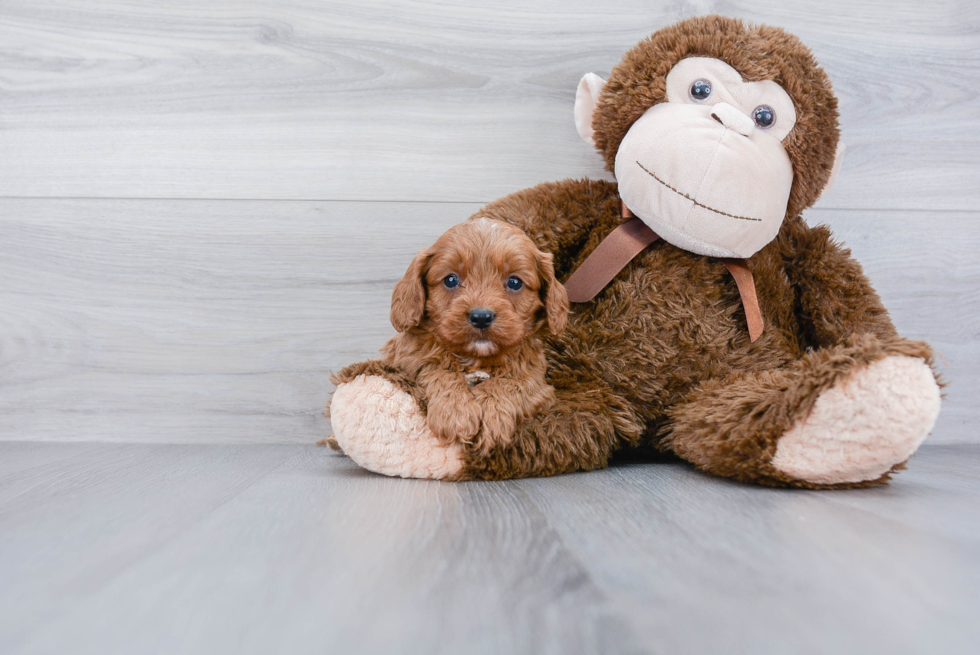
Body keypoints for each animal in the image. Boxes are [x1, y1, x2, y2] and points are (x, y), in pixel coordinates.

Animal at [380, 218, 572, 454]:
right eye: (451, 280)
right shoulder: (406, 360)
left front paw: (491, 414)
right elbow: (437, 370)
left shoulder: (536, 382)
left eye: (515, 282)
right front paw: (454, 413)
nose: (481, 317)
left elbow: (512, 383)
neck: (476, 357)